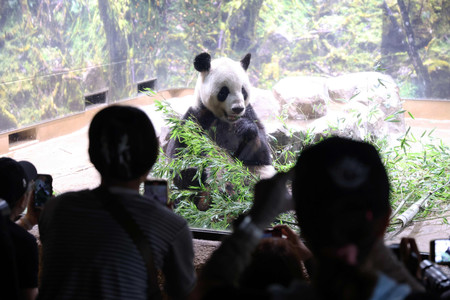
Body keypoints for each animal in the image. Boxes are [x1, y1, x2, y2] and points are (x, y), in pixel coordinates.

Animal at [166, 52, 274, 191]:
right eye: (224, 91)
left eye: (243, 90)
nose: (238, 108)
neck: (225, 120)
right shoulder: (197, 117)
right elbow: (179, 149)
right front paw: (189, 173)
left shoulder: (249, 113)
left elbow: (262, 154)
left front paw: (245, 127)